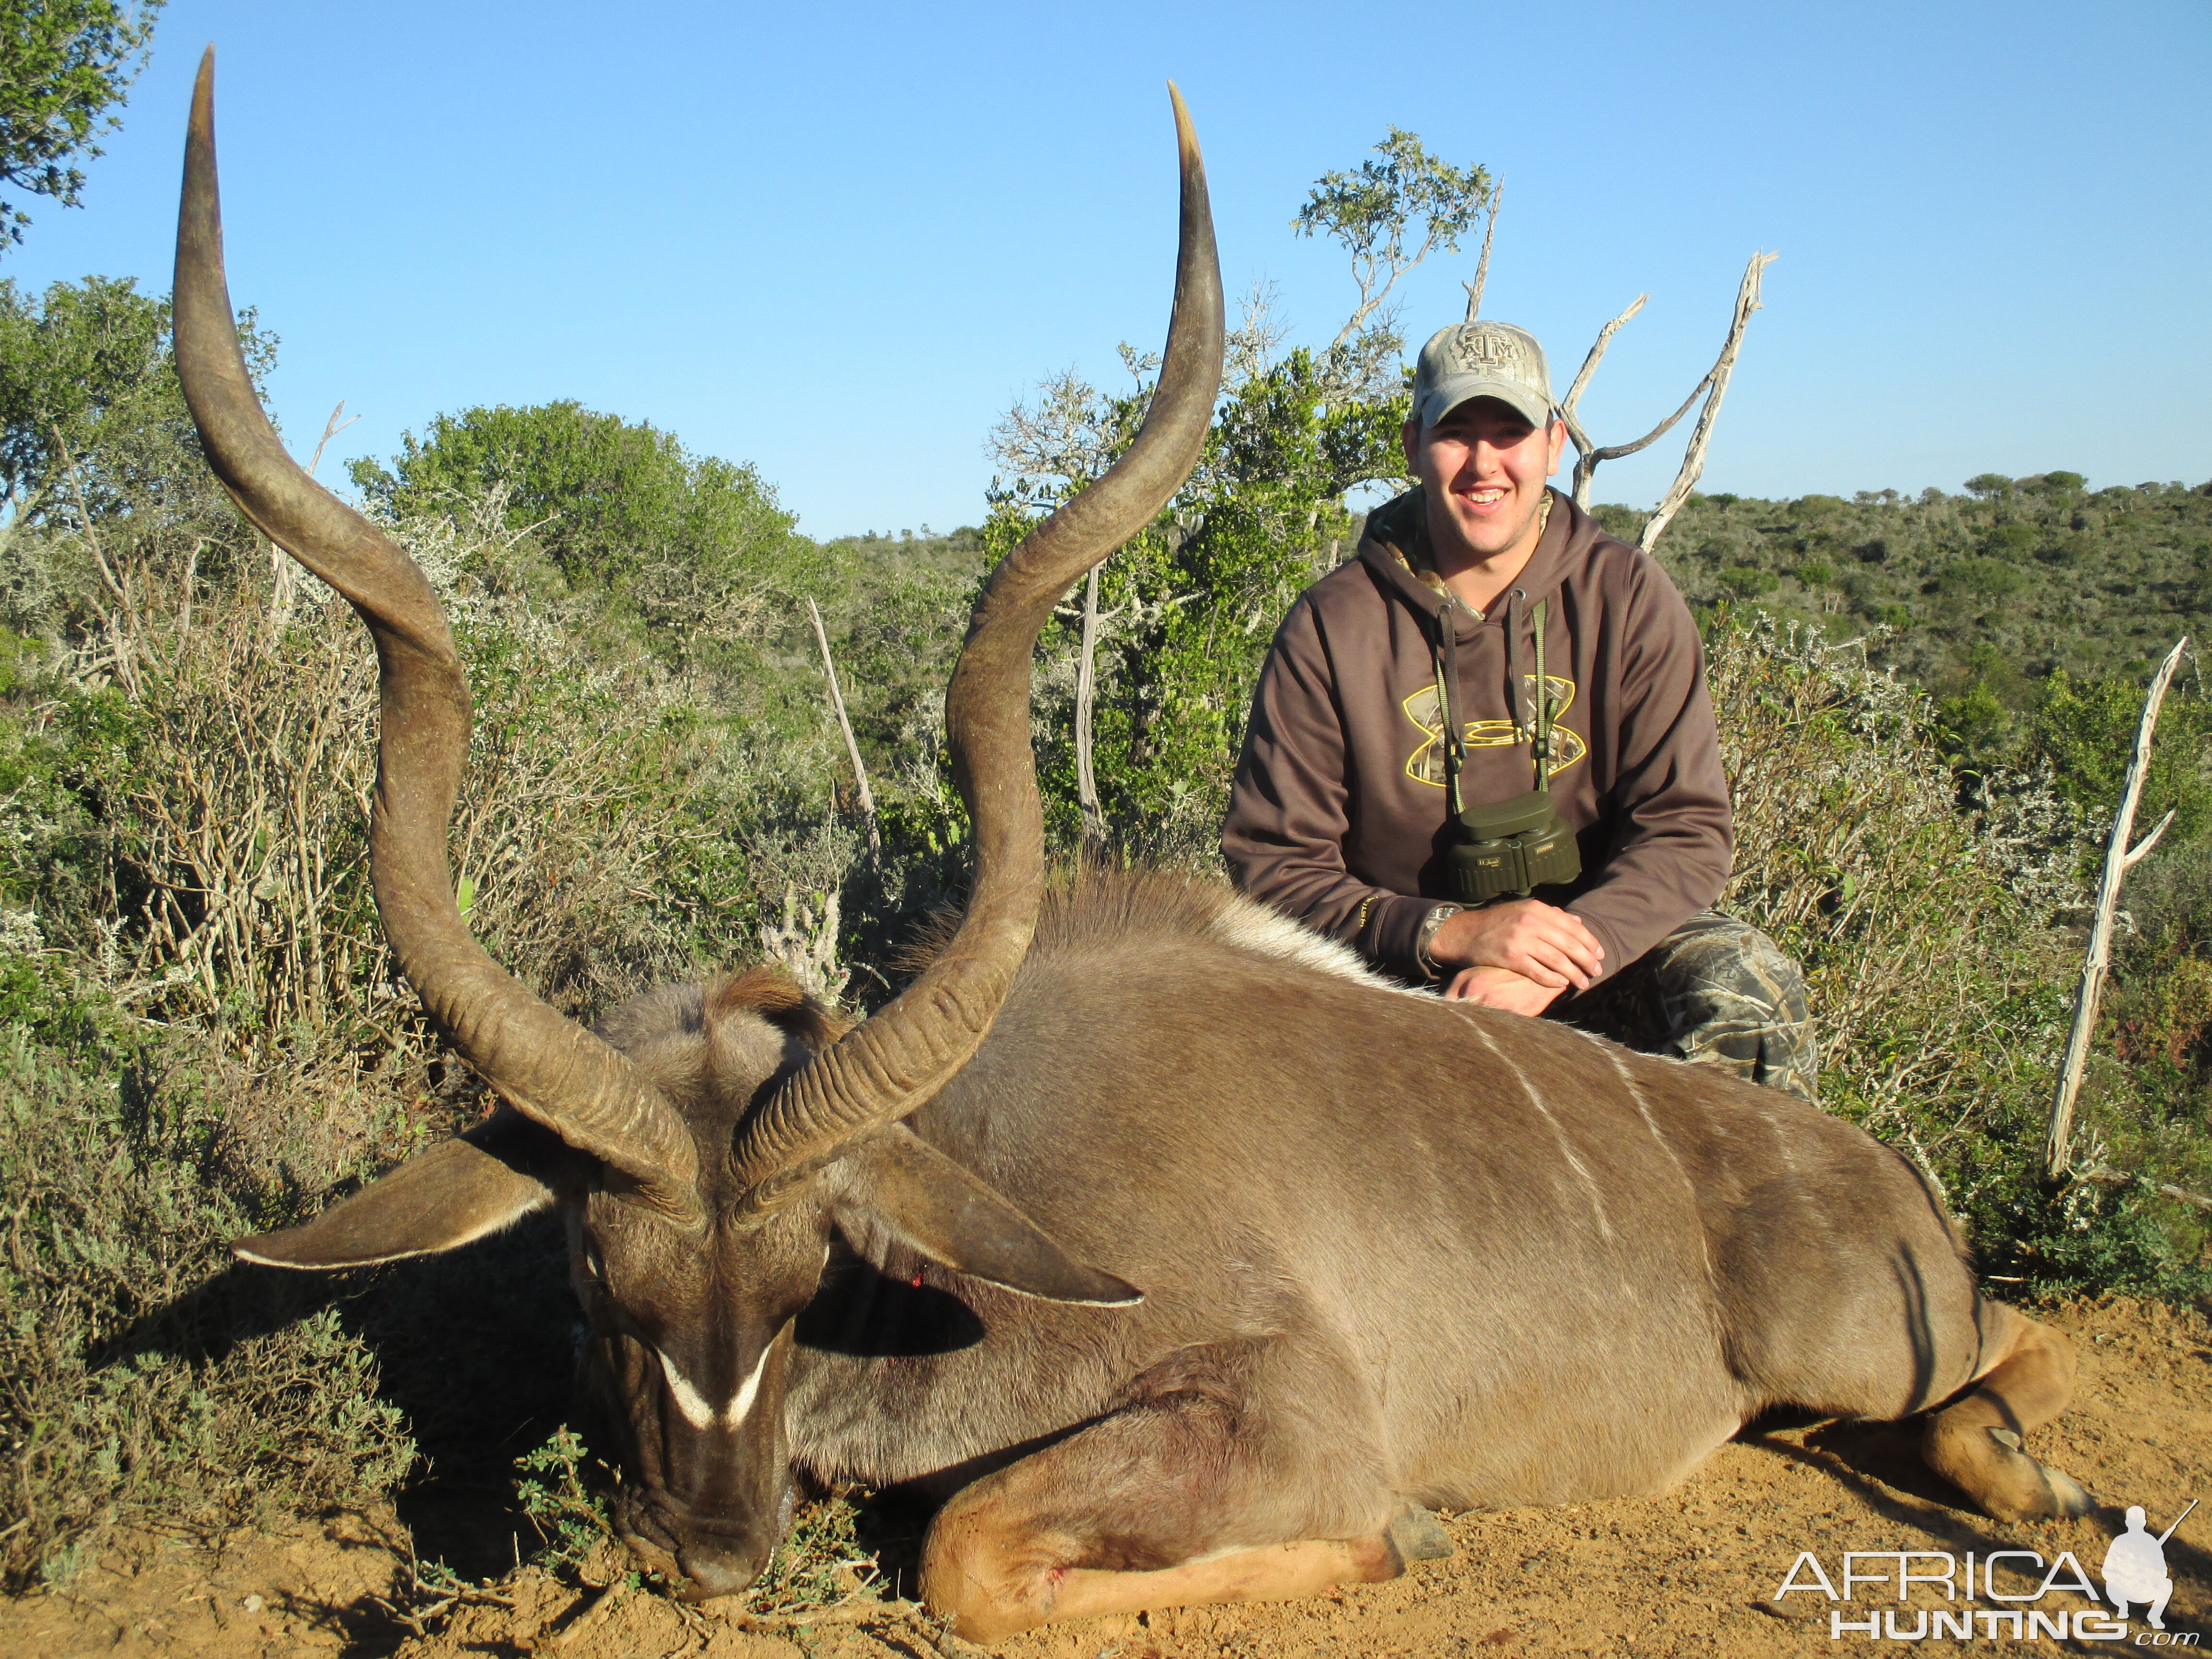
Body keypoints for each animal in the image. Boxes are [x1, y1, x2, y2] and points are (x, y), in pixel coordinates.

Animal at [177, 55, 2088, 1654]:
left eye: (810, 1274)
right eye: (595, 1277)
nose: (711, 1552)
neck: (962, 1228)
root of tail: (1879, 1170)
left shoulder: (1286, 1407)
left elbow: (973, 1554)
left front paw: (1406, 1538)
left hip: (1855, 1339)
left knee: (2010, 1344)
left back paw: (2033, 1473)